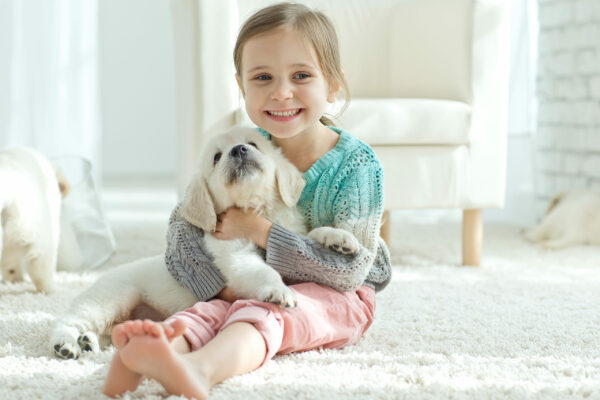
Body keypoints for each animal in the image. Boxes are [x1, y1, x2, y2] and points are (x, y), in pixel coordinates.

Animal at [50, 128, 356, 360]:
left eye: (253, 143)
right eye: (216, 157)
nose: (239, 150)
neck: (257, 210)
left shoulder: (287, 235)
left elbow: (306, 238)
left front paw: (339, 238)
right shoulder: (236, 256)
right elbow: (264, 270)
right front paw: (278, 290)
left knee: (106, 331)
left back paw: (89, 342)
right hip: (110, 299)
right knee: (70, 319)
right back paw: (66, 343)